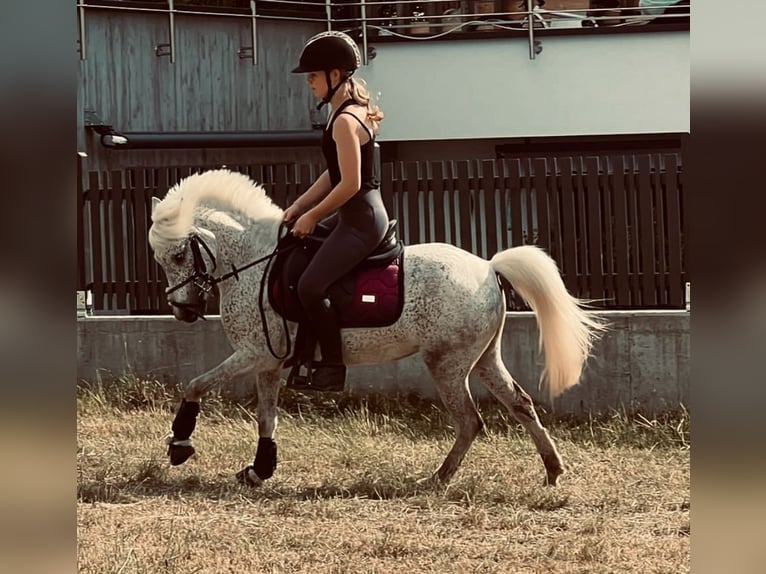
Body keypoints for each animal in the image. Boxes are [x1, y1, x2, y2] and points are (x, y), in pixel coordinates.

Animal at [148, 169, 608, 488]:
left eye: (178, 256)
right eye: (161, 259)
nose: (183, 310)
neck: (257, 263)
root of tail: (488, 267)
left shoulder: (255, 353)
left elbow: (195, 384)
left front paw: (179, 445)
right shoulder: (269, 362)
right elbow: (266, 417)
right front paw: (260, 469)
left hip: (446, 363)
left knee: (470, 421)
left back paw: (437, 479)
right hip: (482, 359)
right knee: (521, 404)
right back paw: (552, 470)